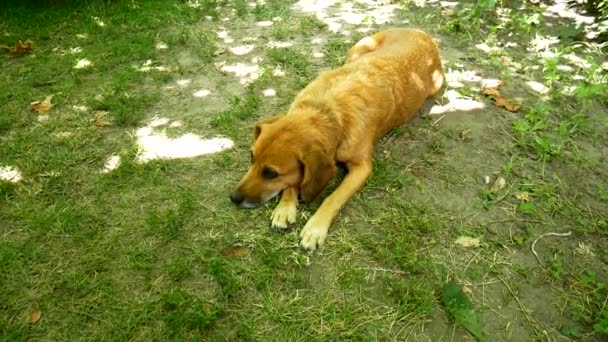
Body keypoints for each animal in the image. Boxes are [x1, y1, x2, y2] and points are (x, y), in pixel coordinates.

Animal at [230, 27, 444, 251]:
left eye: (271, 173)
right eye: (251, 158)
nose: (233, 198)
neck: (328, 111)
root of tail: (421, 32)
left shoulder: (362, 168)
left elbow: (332, 198)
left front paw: (315, 228)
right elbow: (293, 182)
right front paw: (285, 207)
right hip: (360, 48)